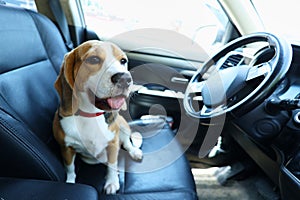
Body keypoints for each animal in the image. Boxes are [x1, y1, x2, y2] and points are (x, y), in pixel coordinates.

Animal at [52, 39, 143, 195]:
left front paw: (112, 182)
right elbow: (70, 168)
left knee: (126, 143)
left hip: (123, 126)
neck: (91, 115)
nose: (125, 79)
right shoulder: (66, 148)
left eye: (123, 61)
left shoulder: (112, 144)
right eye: (93, 59)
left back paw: (134, 152)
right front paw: (70, 183)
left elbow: (112, 164)